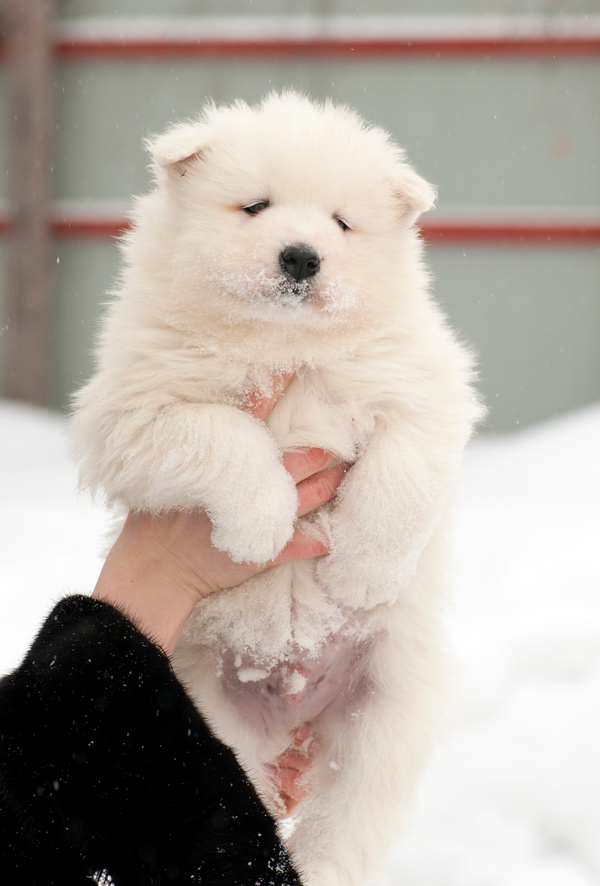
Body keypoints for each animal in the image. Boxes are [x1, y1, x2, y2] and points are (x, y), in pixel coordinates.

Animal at [71, 90, 482, 886]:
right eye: (255, 207)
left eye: (342, 223)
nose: (301, 256)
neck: (283, 344)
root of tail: (290, 713)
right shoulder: (132, 412)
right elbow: (225, 435)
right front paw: (262, 526)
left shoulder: (425, 393)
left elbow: (399, 477)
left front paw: (359, 572)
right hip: (201, 725)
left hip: (385, 712)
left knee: (346, 823)